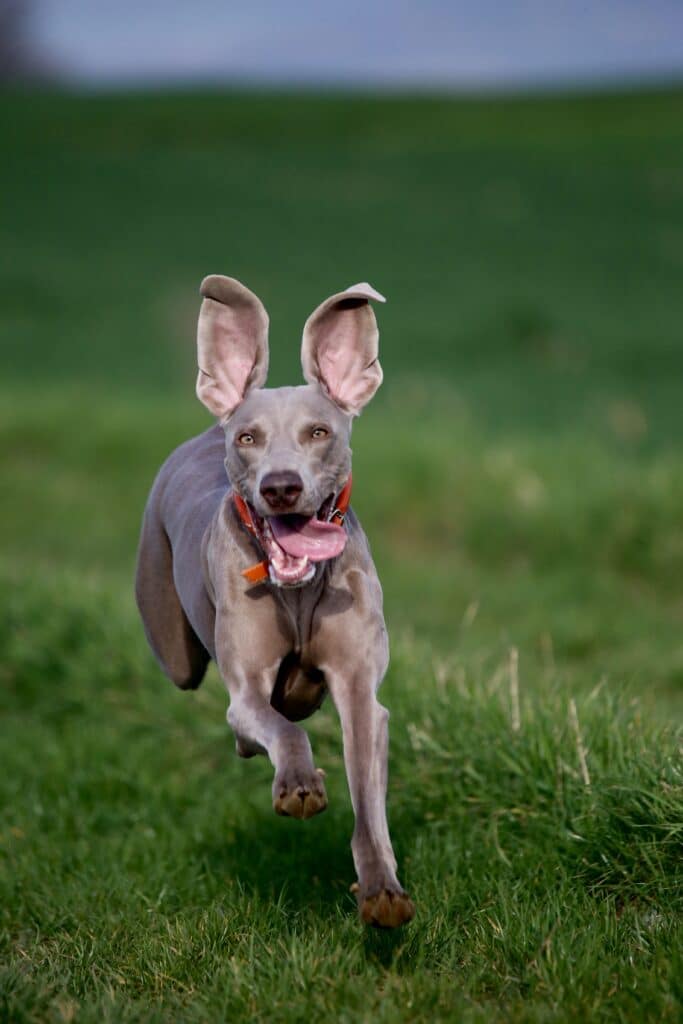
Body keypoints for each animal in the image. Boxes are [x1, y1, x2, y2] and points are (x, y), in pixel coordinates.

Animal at [133, 274, 411, 929]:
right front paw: (300, 786)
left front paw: (381, 887)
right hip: (174, 646)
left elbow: (368, 798)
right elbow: (276, 726)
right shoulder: (246, 691)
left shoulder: (361, 691)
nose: (280, 487)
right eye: (249, 438)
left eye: (320, 432)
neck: (299, 592)